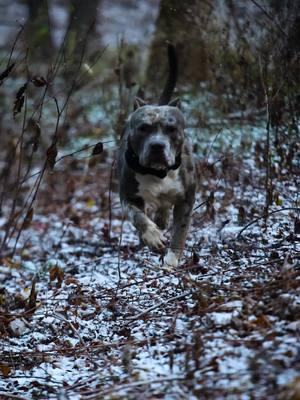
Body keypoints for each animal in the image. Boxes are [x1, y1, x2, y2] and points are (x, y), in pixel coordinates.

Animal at [116, 43, 196, 268]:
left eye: (171, 129)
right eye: (143, 128)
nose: (157, 145)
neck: (157, 172)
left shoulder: (187, 198)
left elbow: (180, 230)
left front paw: (172, 258)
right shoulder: (128, 197)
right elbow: (139, 218)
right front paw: (152, 237)